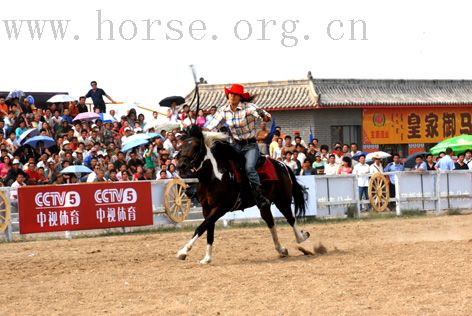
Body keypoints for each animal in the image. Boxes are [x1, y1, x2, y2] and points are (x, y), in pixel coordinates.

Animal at [177, 124, 310, 262]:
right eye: (182, 146)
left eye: (196, 146)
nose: (181, 166)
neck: (215, 176)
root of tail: (283, 165)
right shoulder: (206, 209)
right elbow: (209, 230)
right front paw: (207, 258)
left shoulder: (220, 208)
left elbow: (201, 227)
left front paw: (183, 251)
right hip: (265, 204)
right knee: (270, 222)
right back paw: (282, 250)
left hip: (282, 200)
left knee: (291, 219)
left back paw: (302, 237)